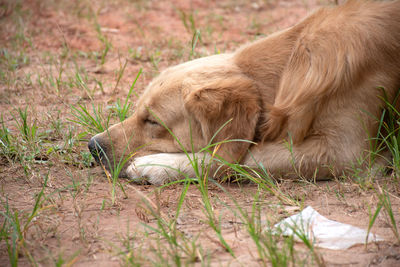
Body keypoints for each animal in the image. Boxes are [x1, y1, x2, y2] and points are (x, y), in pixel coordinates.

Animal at [88, 0, 400, 185]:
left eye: (152, 121)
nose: (93, 146)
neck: (290, 70)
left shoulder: (348, 153)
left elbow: (246, 157)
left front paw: (157, 165)